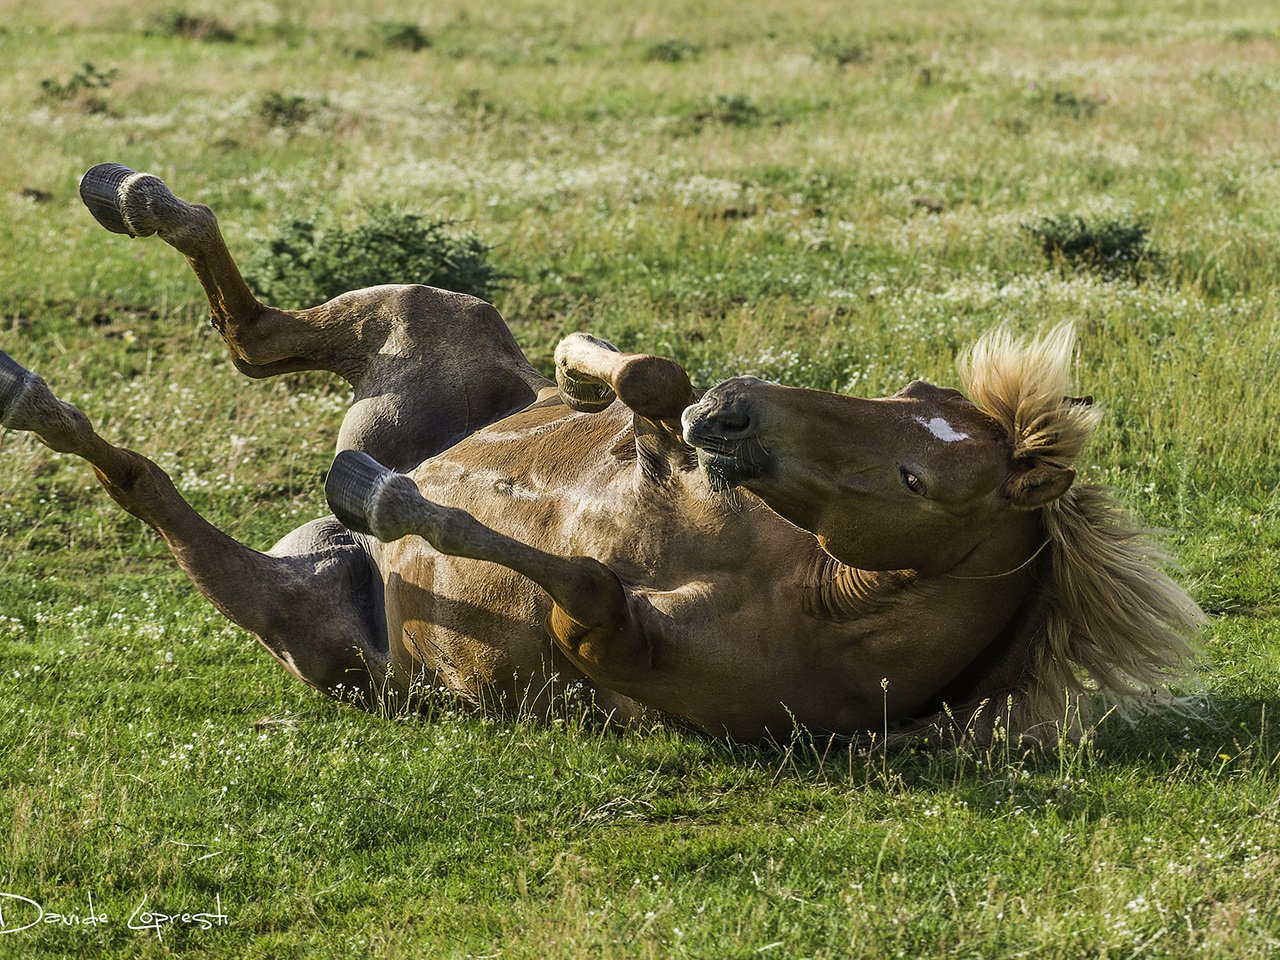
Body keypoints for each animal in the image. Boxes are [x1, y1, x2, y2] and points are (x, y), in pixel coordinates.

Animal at [0, 165, 1198, 742]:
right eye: (907, 396)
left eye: (917, 478)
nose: (736, 416)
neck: (815, 592)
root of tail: (321, 560)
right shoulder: (671, 445)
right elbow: (650, 379)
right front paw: (586, 373)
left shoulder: (604, 634)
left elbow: (578, 577)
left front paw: (389, 497)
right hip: (427, 312)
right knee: (250, 332)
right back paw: (123, 198)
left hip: (296, 621)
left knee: (148, 480)